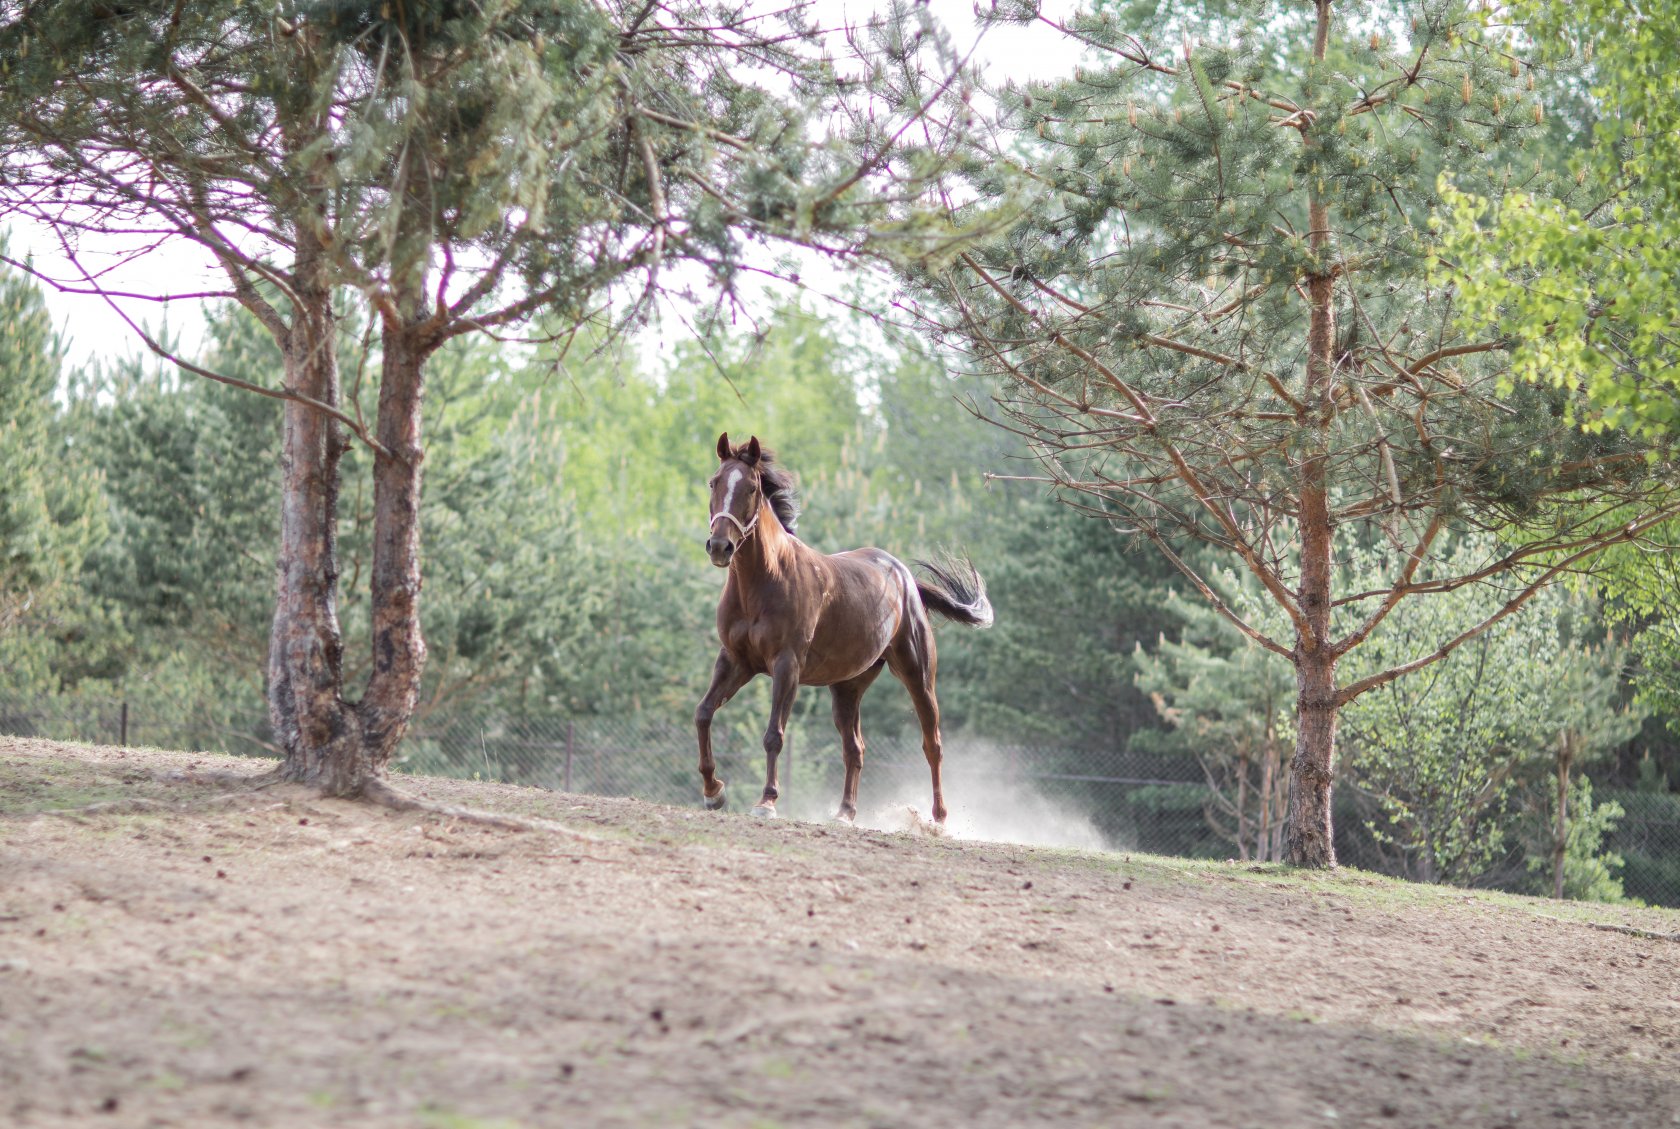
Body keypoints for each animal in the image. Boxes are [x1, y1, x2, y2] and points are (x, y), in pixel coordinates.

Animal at [698, 430, 994, 819]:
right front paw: (713, 792)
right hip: (847, 689)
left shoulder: (786, 665)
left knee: (932, 743)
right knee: (855, 747)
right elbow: (703, 713)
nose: (720, 546)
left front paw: (766, 801)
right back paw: (844, 812)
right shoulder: (735, 661)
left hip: (917, 676)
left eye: (750, 488)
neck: (764, 581)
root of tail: (906, 579)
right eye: (714, 482)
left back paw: (939, 817)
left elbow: (774, 734)